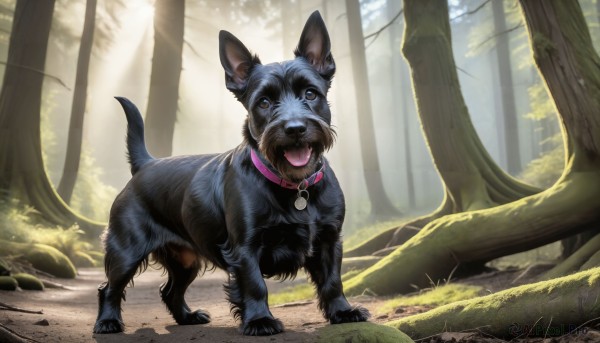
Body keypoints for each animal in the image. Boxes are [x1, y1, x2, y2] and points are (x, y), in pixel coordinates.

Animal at [94, 10, 368, 336]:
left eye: (311, 93)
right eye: (264, 102)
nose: (295, 128)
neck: (294, 186)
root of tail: (145, 163)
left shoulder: (328, 240)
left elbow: (333, 281)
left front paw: (343, 311)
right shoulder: (245, 247)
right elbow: (254, 285)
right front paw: (260, 320)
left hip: (185, 259)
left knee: (170, 290)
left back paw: (187, 317)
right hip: (126, 250)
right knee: (110, 287)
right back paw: (108, 321)